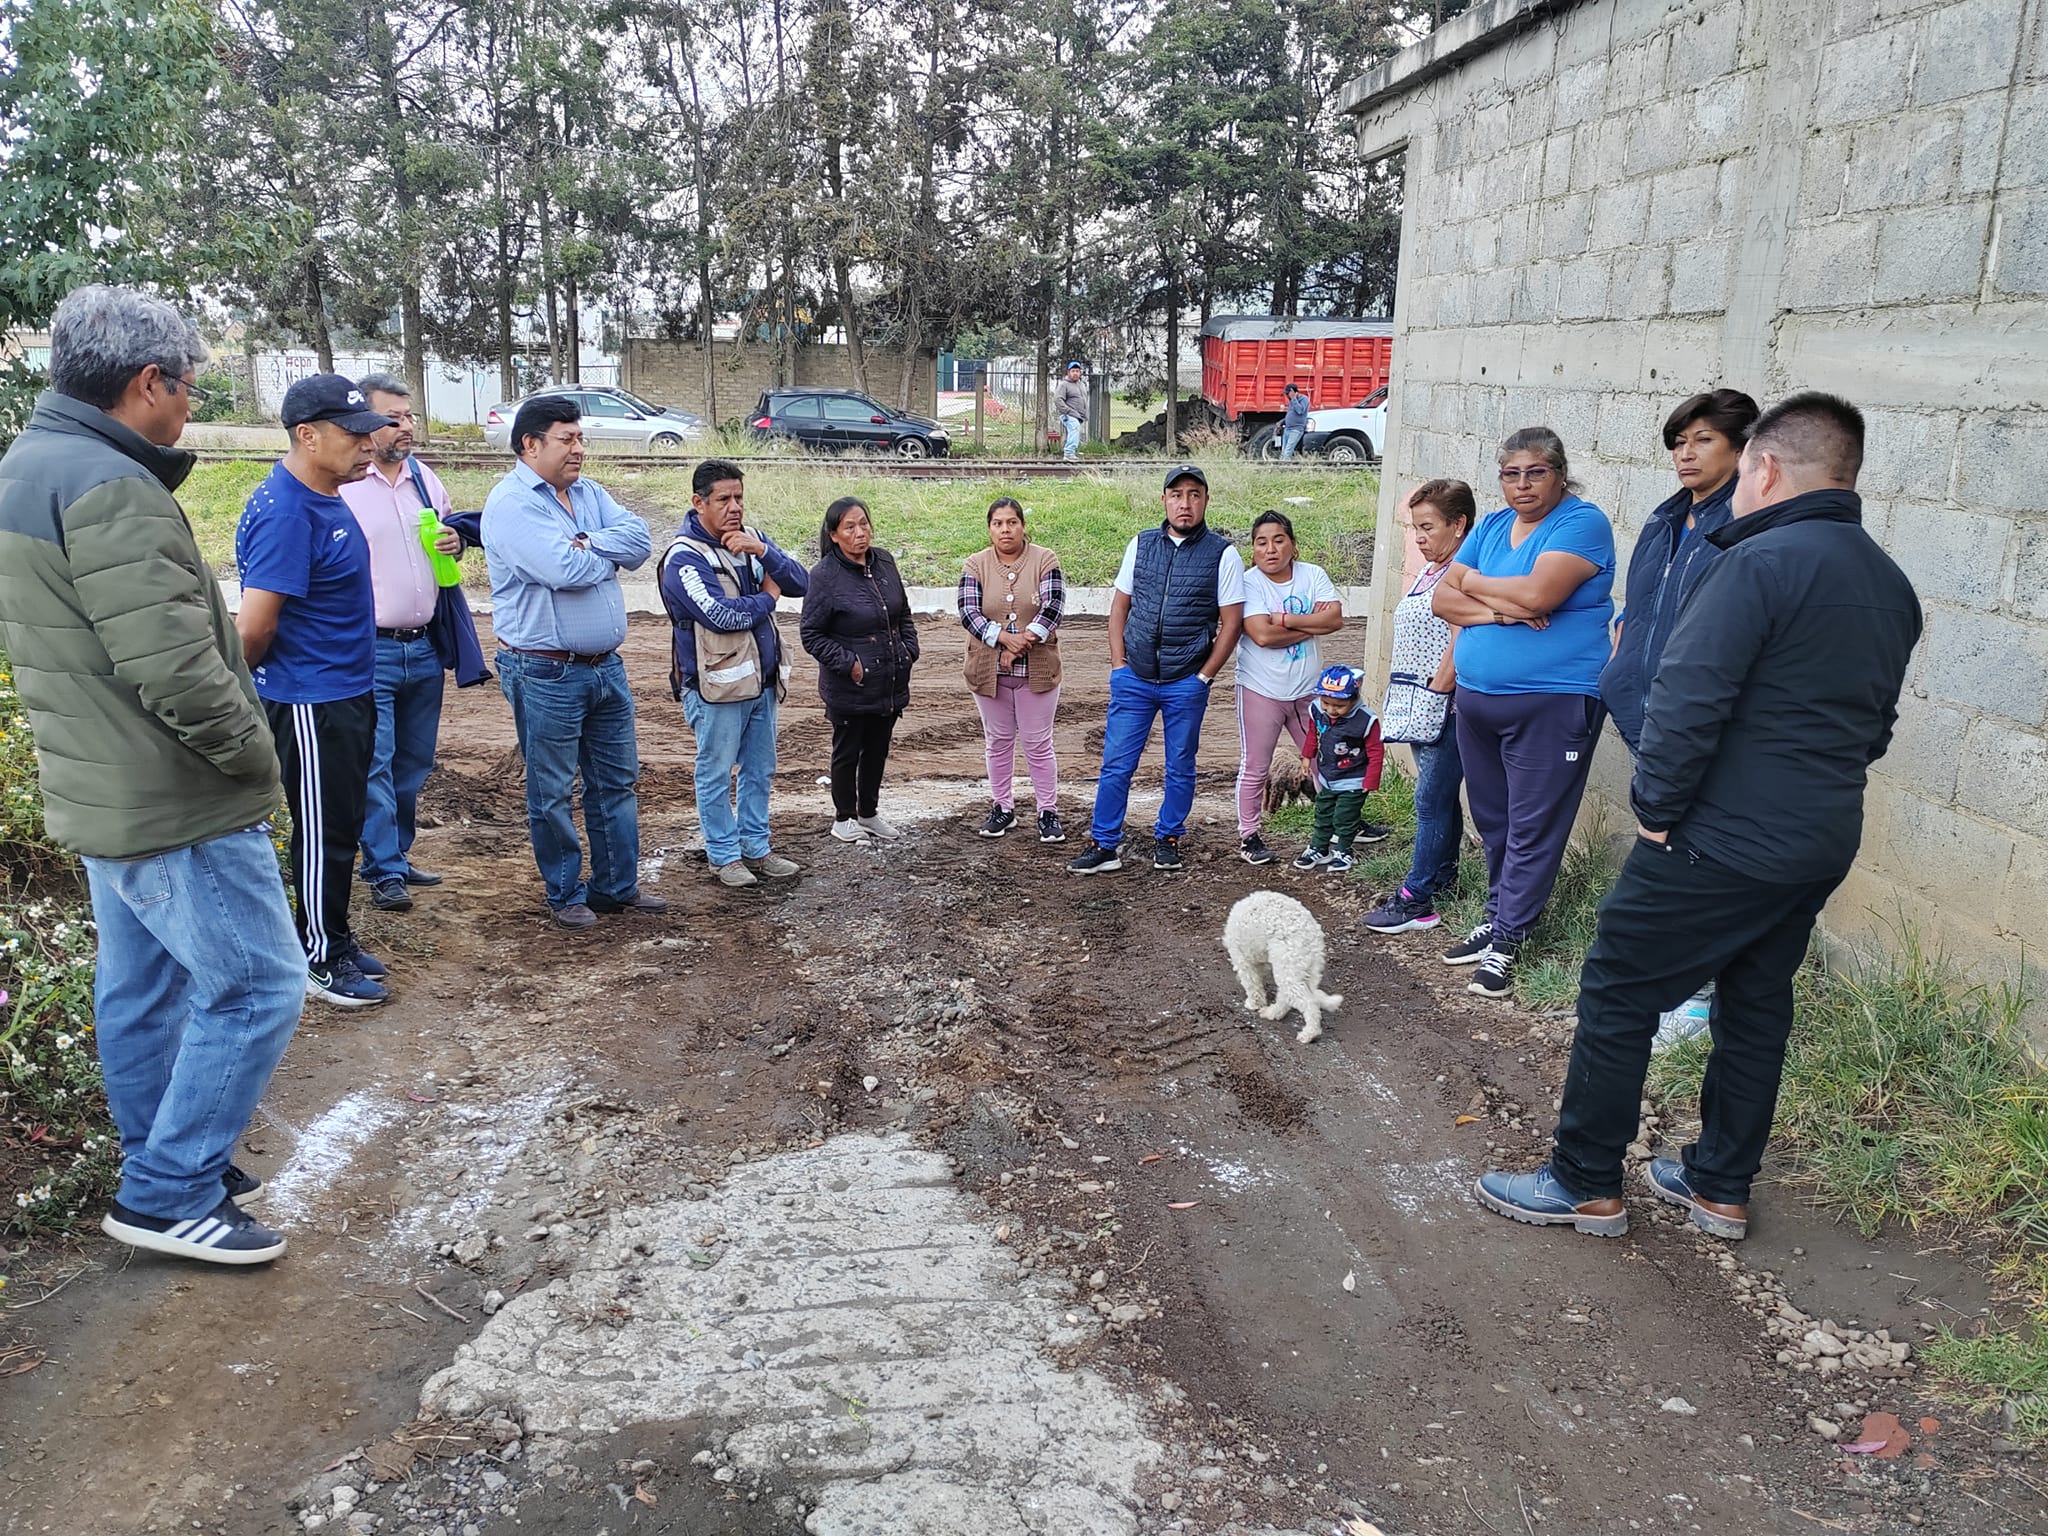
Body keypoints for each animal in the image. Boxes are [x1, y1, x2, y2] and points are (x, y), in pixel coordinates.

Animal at [1212, 888, 1343, 1048]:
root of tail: (1311, 936)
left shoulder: (1242, 960)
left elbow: (1252, 984)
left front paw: (1253, 1003)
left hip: (1287, 967)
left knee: (1309, 1004)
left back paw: (1309, 1034)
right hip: (1300, 969)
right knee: (1287, 996)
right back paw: (1272, 1013)